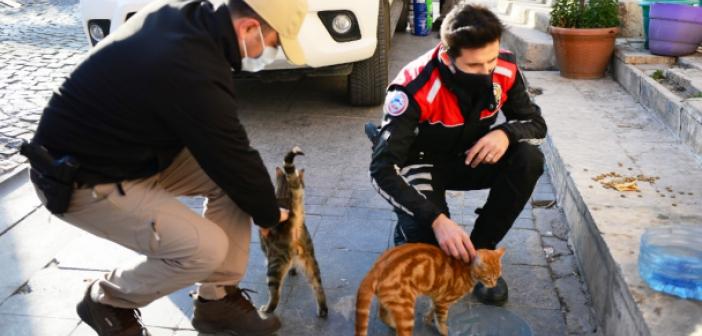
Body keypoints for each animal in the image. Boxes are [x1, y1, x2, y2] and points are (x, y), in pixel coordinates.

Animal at [260, 146, 328, 318]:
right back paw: (323, 310)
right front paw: (293, 271)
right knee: (318, 286)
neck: (285, 197)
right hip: (310, 260)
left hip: (275, 263)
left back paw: (267, 309)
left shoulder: (266, 248)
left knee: (275, 293)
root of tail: (294, 220)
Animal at [358, 244, 506, 336]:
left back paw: (392, 324)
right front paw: (444, 331)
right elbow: (441, 319)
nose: (493, 285)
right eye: (489, 278)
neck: (467, 270)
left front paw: (427, 319)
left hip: (392, 300)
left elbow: (432, 310)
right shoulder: (444, 301)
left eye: (498, 276)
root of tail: (376, 267)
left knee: (381, 313)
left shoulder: (437, 297)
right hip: (405, 309)